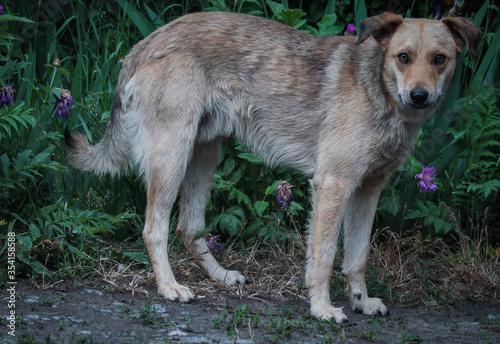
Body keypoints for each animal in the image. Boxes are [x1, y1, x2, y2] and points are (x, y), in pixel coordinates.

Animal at [66, 10, 480, 322]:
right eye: (403, 57)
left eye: (440, 59)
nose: (419, 96)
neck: (380, 90)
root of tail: (143, 45)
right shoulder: (333, 186)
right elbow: (324, 257)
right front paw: (322, 309)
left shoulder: (367, 191)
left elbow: (357, 257)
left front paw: (361, 302)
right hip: (172, 159)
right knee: (155, 229)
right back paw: (170, 288)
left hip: (203, 156)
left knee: (189, 227)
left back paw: (220, 277)